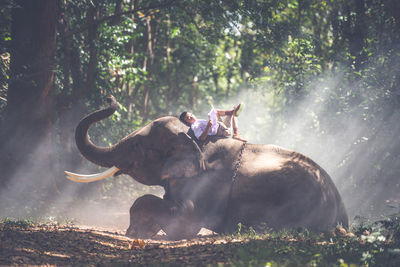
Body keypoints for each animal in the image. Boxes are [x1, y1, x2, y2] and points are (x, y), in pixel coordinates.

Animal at [65, 96, 346, 241]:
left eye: (136, 147)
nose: (110, 99)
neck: (192, 139)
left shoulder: (206, 184)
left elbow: (185, 222)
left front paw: (135, 231)